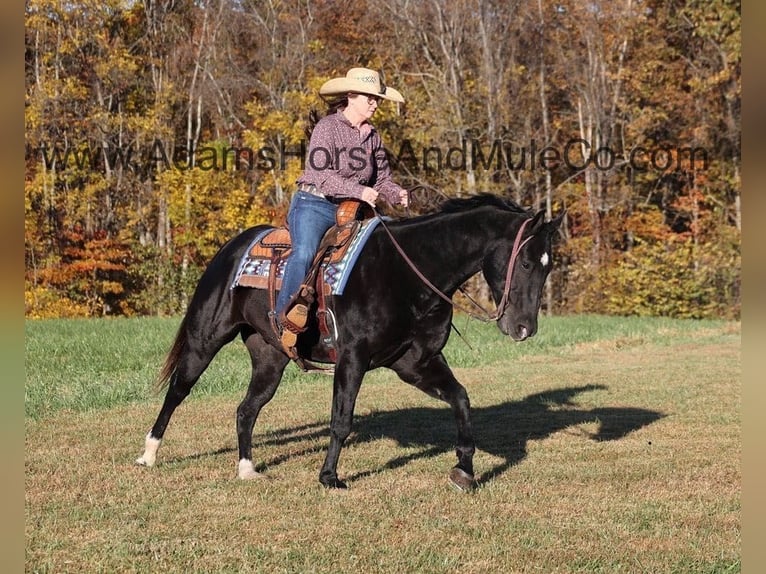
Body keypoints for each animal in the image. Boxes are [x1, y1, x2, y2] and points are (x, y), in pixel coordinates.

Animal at [136, 193, 565, 490]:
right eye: (527, 262)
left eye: (549, 267)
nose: (524, 328)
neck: (408, 271)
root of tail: (232, 248)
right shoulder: (352, 359)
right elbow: (341, 420)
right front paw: (329, 477)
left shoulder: (416, 363)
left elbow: (460, 398)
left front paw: (464, 470)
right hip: (204, 340)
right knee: (177, 392)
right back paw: (148, 455)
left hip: (270, 358)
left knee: (246, 409)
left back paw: (247, 469)